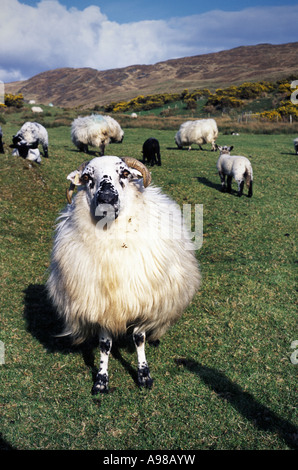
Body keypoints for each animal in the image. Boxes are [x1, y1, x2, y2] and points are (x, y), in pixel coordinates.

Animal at [46, 156, 200, 392]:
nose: (107, 198)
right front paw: (101, 380)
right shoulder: (103, 304)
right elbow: (105, 345)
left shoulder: (142, 301)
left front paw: (144, 375)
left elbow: (138, 338)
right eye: (87, 177)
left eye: (125, 173)